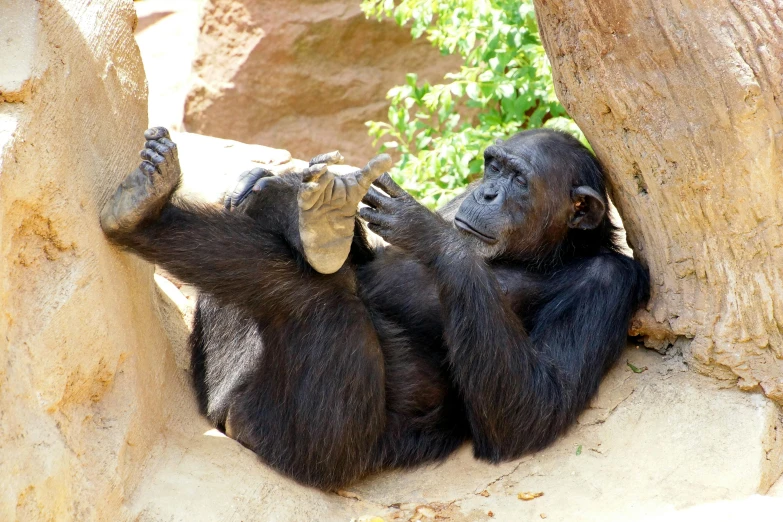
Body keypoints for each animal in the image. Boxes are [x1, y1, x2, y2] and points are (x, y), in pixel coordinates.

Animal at [99, 125, 648, 488]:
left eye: (519, 180)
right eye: (493, 166)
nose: (488, 192)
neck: (548, 253)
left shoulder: (609, 285)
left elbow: (536, 410)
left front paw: (425, 230)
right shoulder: (459, 203)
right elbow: (363, 260)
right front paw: (278, 189)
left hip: (313, 445)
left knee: (318, 298)